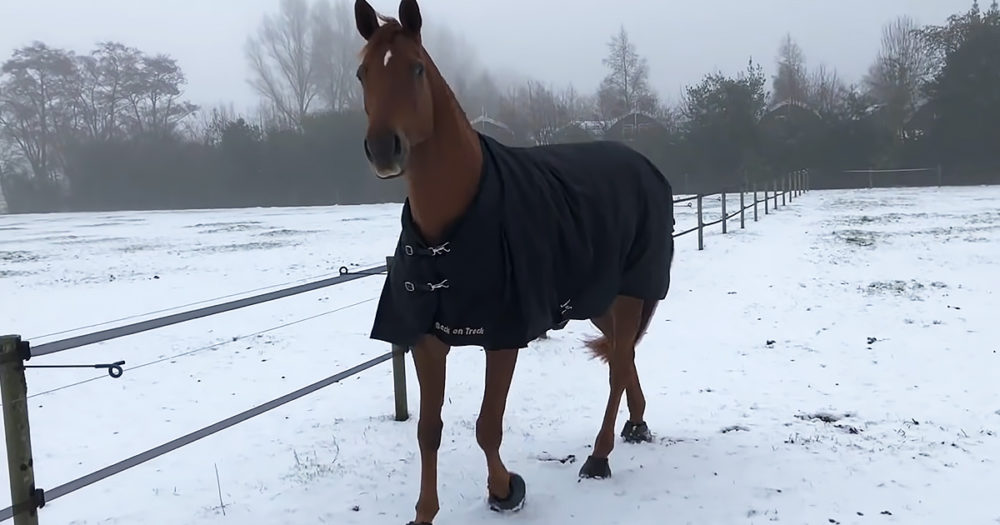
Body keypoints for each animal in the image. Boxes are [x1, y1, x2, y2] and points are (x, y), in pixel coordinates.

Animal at [353, 1, 675, 523]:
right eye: (363, 73)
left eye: (416, 68)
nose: (384, 149)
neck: (448, 236)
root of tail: (644, 163)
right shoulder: (426, 340)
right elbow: (428, 430)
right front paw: (424, 512)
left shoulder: (503, 337)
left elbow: (487, 425)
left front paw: (505, 490)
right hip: (598, 300)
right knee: (622, 356)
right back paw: (637, 425)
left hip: (629, 293)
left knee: (618, 365)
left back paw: (599, 457)